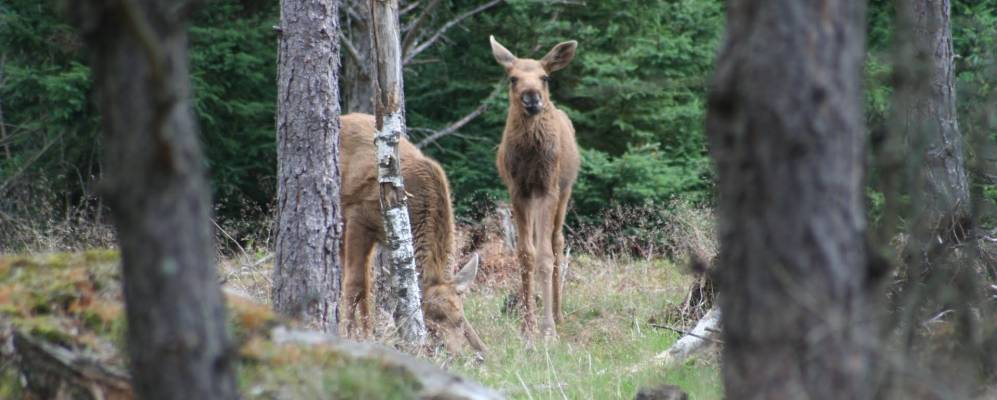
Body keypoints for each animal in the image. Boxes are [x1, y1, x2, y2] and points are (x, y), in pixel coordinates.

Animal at [338, 114, 486, 354]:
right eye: (432, 320)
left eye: (459, 320)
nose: (455, 353)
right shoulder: (359, 216)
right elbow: (356, 284)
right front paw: (348, 334)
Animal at [488, 36, 580, 340]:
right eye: (513, 78)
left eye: (545, 77)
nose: (531, 97)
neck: (530, 158)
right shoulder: (518, 190)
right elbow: (525, 254)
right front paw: (527, 326)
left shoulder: (547, 188)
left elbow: (545, 256)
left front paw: (548, 330)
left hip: (565, 190)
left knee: (557, 240)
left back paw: (559, 314)